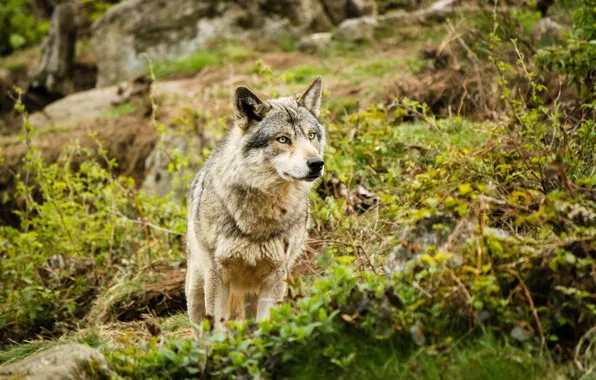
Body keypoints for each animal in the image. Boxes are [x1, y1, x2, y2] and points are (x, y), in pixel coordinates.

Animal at [186, 77, 326, 330]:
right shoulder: (217, 276)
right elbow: (219, 329)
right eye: (283, 139)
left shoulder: (275, 277)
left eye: (311, 135)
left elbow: (266, 324)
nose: (317, 163)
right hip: (196, 294)